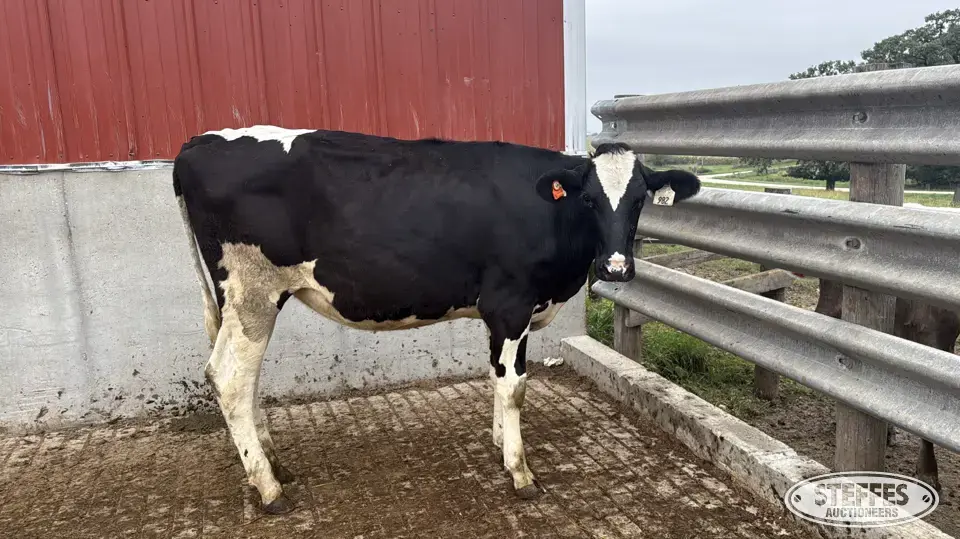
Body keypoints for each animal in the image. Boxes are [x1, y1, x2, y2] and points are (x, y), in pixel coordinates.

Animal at [172, 126, 702, 514]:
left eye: (639, 199)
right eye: (589, 199)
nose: (616, 267)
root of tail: (198, 142)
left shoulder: (503, 311)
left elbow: (496, 376)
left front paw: (498, 443)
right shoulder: (511, 303)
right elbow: (515, 386)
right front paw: (519, 470)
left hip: (243, 302)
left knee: (247, 379)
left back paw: (275, 464)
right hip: (253, 293)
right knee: (229, 377)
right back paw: (268, 488)